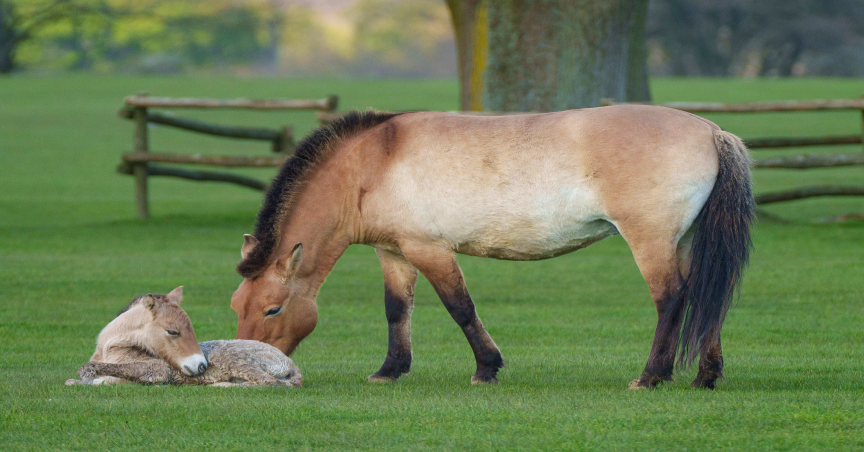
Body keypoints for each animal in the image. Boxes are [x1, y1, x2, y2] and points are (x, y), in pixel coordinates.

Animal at [65, 286, 300, 388]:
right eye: (172, 331)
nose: (202, 366)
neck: (110, 349)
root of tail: (289, 361)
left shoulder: (159, 369)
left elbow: (89, 370)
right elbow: (80, 380)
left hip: (231, 360)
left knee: (273, 383)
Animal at [233, 106, 752, 388]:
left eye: (274, 308)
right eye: (238, 305)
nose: (251, 364)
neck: (374, 161)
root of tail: (712, 131)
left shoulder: (430, 250)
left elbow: (461, 308)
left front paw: (487, 368)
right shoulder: (395, 253)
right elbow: (397, 311)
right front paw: (390, 369)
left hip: (651, 242)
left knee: (672, 299)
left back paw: (652, 376)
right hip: (684, 242)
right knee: (707, 297)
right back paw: (706, 376)